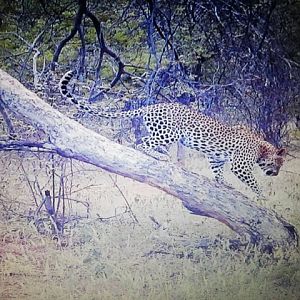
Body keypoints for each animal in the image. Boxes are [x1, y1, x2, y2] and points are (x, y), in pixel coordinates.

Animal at [58, 69, 286, 197]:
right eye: (278, 164)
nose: (275, 174)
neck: (262, 147)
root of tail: (152, 106)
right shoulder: (240, 165)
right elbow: (252, 181)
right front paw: (262, 195)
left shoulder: (216, 158)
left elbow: (218, 173)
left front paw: (224, 184)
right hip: (170, 133)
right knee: (140, 143)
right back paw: (160, 156)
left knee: (144, 141)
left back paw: (163, 154)